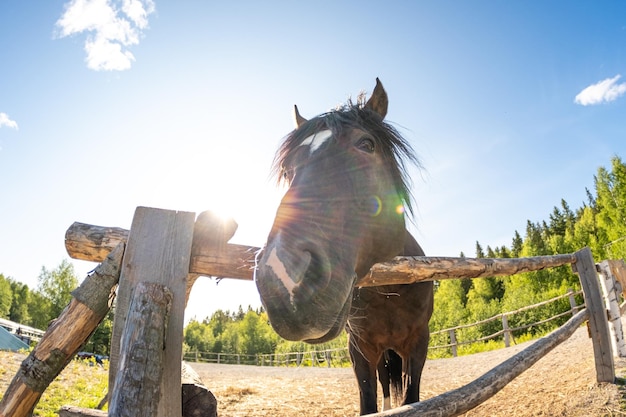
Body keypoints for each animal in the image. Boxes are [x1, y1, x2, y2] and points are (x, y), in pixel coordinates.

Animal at [254, 78, 434, 412]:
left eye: (366, 144)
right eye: (287, 170)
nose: (283, 277)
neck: (389, 291)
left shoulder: (418, 344)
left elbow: (411, 397)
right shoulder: (359, 350)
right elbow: (370, 402)